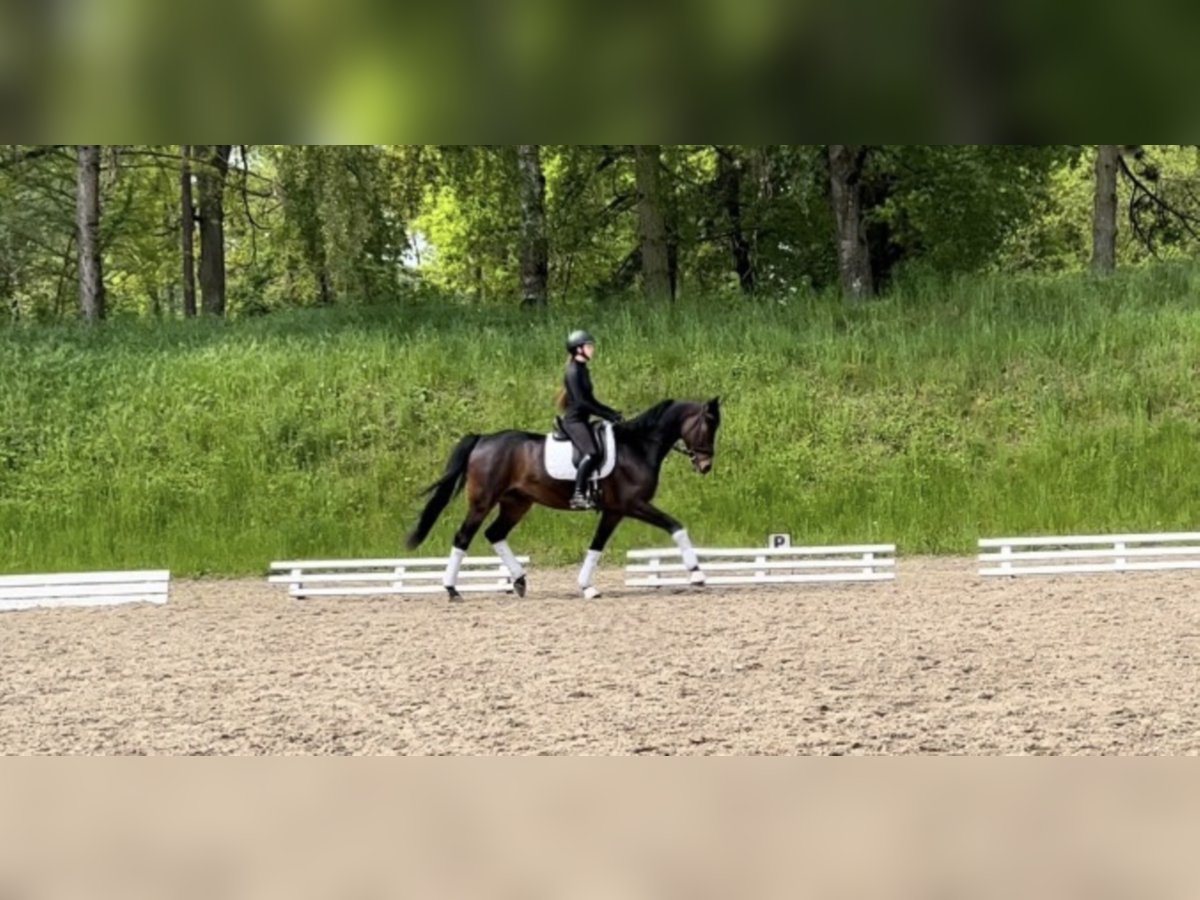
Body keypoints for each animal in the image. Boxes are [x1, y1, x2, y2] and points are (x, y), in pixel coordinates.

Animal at [403, 398, 720, 602]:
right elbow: (676, 526)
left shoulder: (615, 511)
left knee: (495, 533)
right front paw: (696, 574)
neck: (638, 446)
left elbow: (596, 546)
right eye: (708, 425)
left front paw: (587, 588)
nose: (705, 466)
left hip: (516, 503)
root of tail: (483, 439)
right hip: (483, 502)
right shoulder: (633, 505)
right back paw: (452, 589)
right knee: (463, 536)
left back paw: (519, 581)